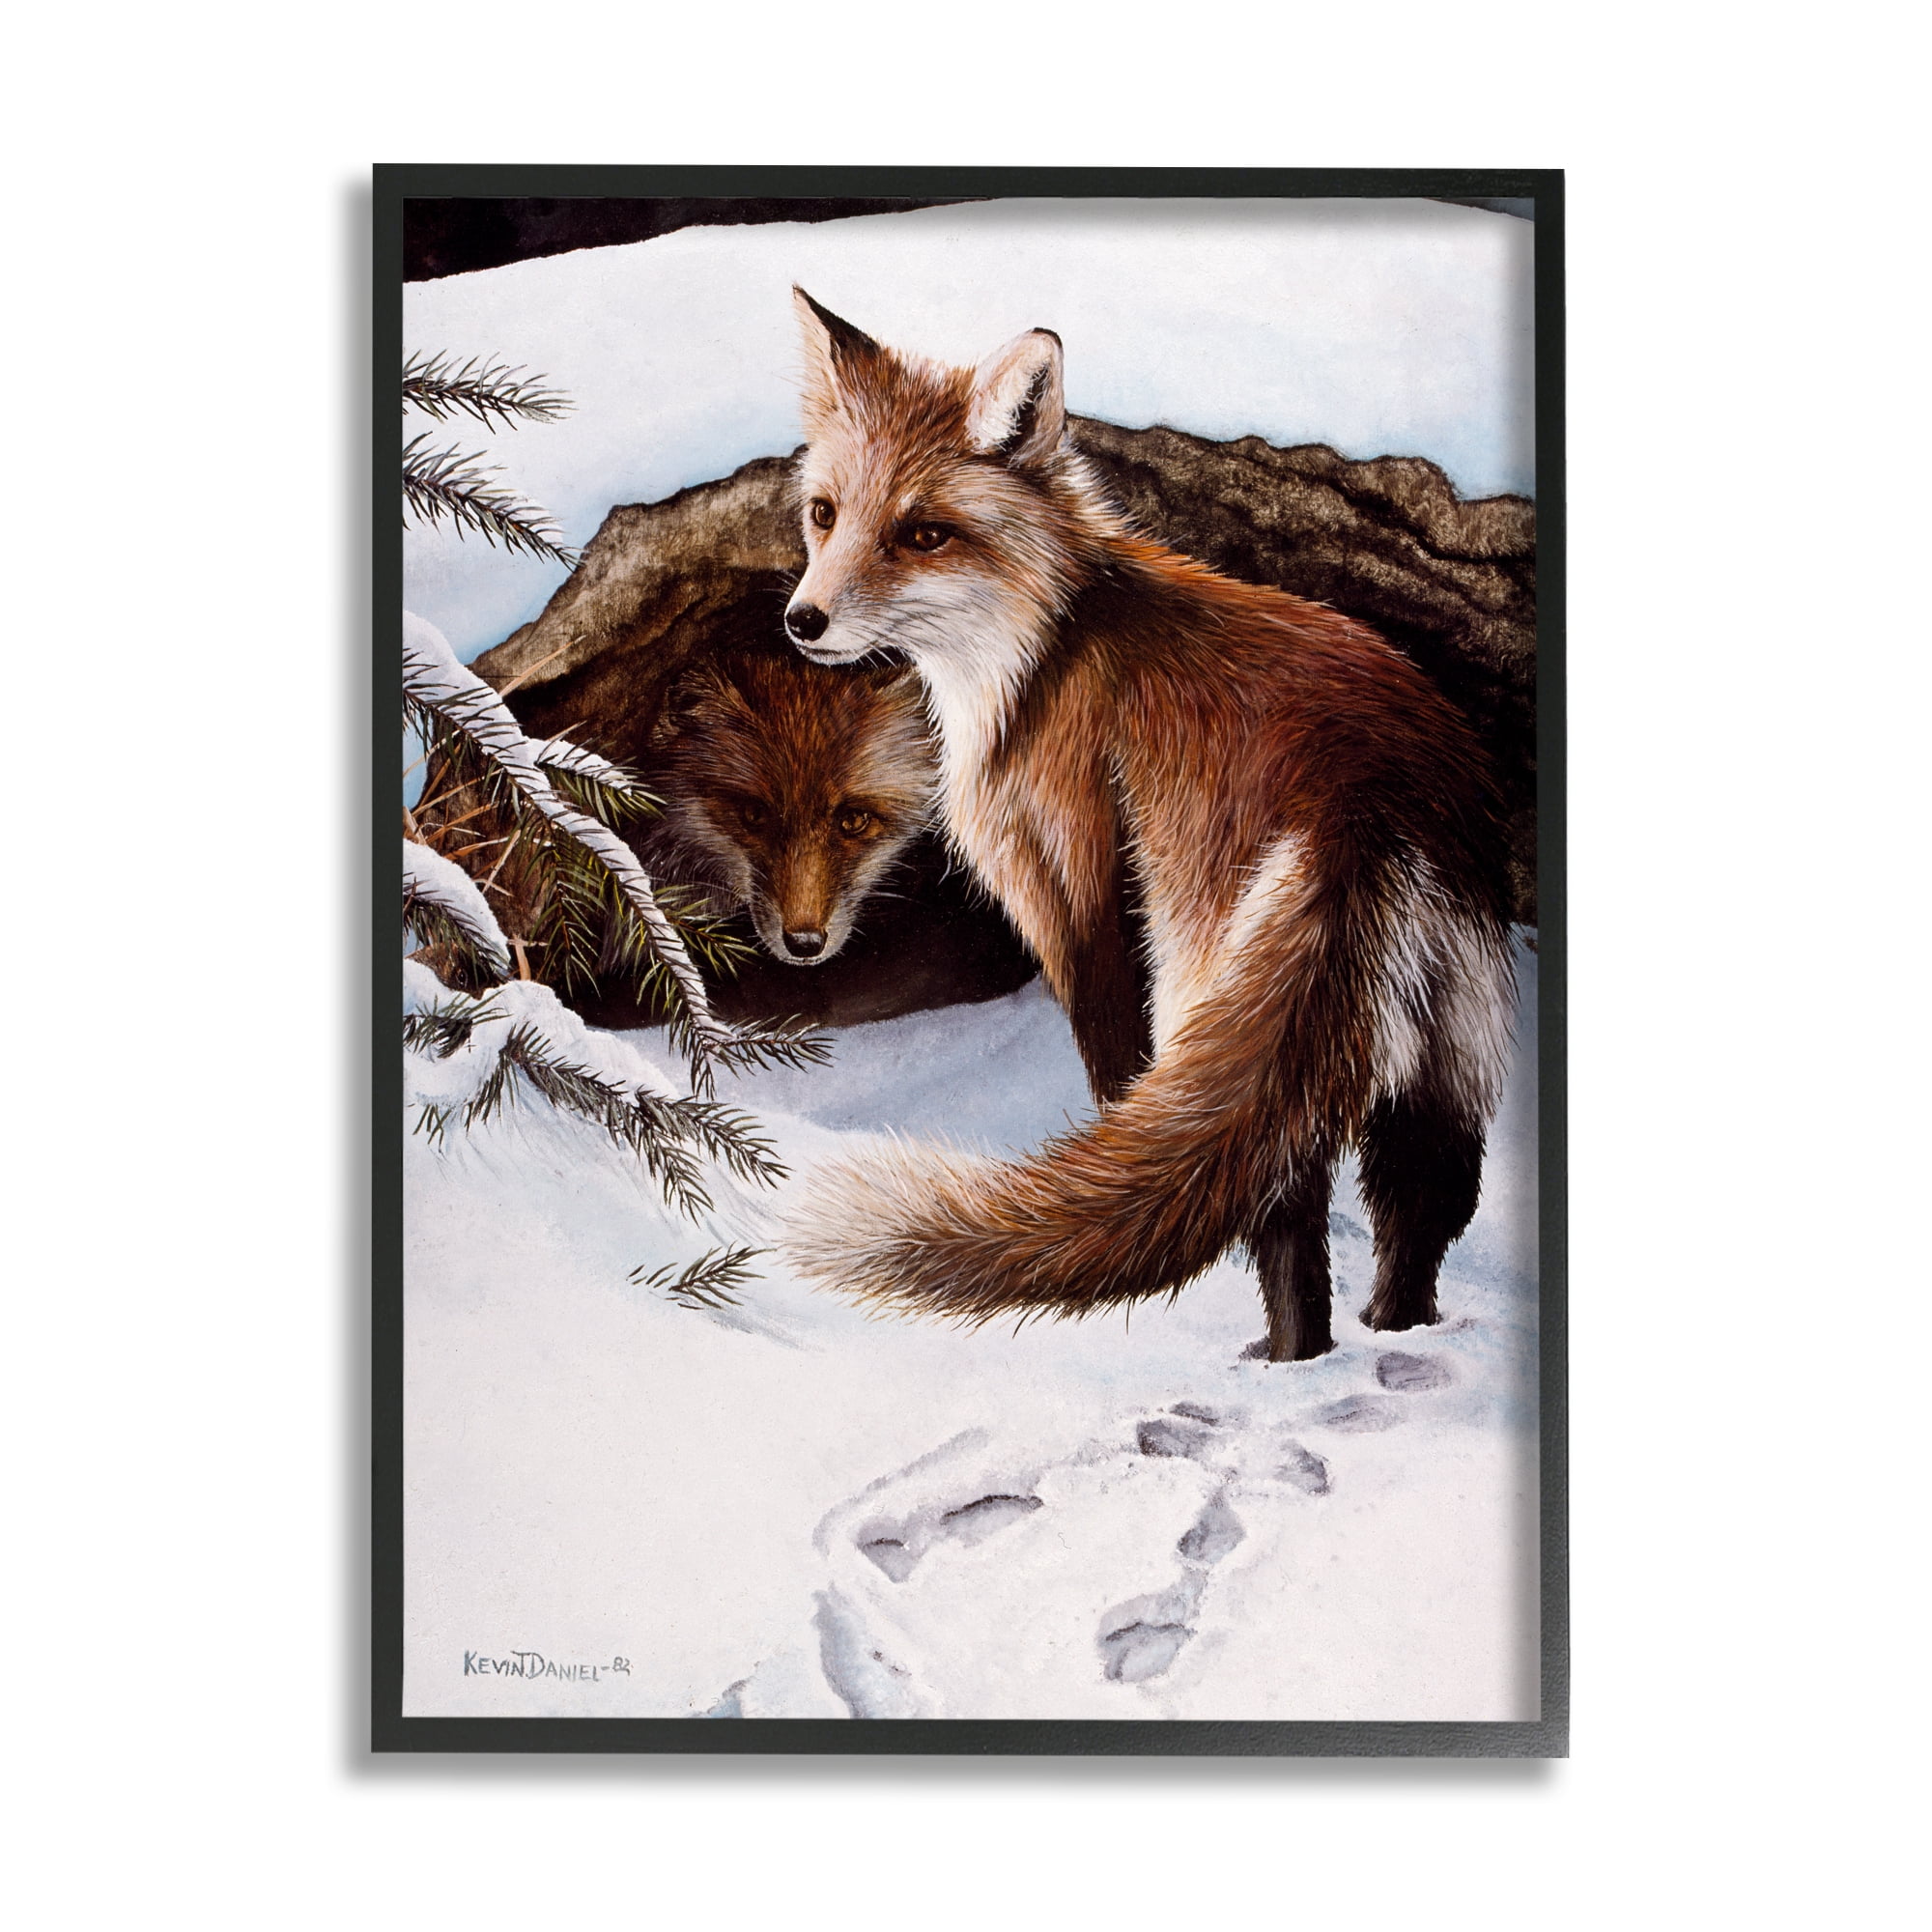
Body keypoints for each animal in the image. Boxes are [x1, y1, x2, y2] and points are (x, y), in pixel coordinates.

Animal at [776, 289, 1518, 1363]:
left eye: (921, 534)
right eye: (825, 513)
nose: (802, 621)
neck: (1042, 648)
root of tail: (1369, 794)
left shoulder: (1069, 888)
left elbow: (1114, 1080)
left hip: (1212, 987)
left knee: (1280, 1204)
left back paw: (1282, 1358)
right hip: (1435, 1054)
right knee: (1416, 1207)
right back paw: (1382, 1339)